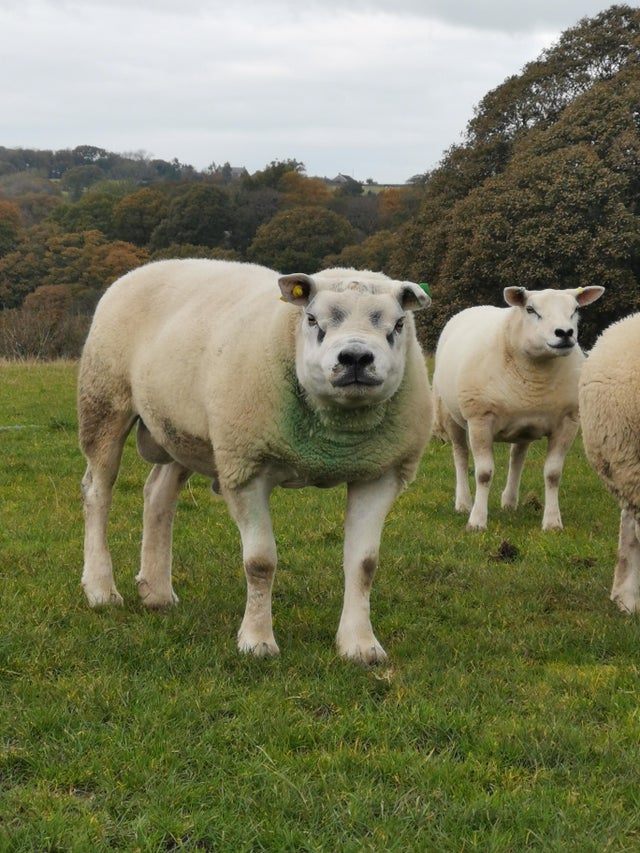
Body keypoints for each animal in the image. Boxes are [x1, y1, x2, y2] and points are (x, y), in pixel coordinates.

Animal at [77, 256, 432, 664]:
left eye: (399, 324)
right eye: (312, 319)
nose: (355, 358)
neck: (333, 440)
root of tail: (146, 267)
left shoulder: (380, 473)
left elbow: (364, 564)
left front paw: (360, 645)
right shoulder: (246, 467)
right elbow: (260, 562)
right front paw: (257, 641)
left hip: (184, 430)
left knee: (158, 495)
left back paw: (157, 592)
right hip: (105, 400)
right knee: (97, 492)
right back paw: (101, 589)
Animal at [432, 282, 604, 528]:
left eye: (575, 310)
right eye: (531, 309)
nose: (565, 333)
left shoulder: (568, 422)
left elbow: (553, 474)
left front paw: (552, 522)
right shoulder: (480, 419)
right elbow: (483, 473)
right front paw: (477, 521)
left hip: (524, 425)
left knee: (517, 458)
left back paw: (509, 501)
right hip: (450, 414)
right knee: (461, 456)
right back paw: (463, 503)